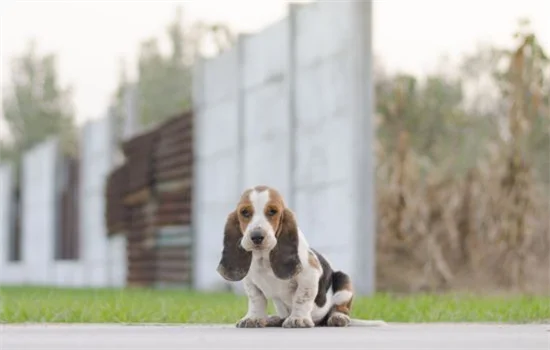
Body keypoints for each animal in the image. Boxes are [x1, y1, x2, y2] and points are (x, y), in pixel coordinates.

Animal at [217, 186, 388, 328]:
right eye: (244, 212)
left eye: (272, 211)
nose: (257, 236)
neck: (264, 257)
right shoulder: (250, 281)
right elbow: (256, 300)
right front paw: (253, 318)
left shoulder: (309, 275)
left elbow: (301, 298)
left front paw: (297, 319)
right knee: (280, 315)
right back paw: (273, 319)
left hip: (343, 282)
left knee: (340, 308)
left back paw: (338, 318)